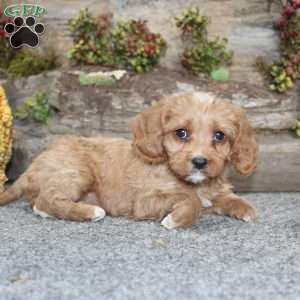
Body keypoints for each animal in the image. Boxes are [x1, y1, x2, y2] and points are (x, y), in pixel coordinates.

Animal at [0, 92, 258, 229]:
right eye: (181, 133)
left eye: (219, 136)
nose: (200, 162)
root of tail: (32, 167)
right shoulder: (145, 200)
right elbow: (190, 200)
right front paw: (175, 219)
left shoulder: (215, 191)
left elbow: (228, 198)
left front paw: (244, 208)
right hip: (77, 173)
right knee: (45, 200)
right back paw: (90, 211)